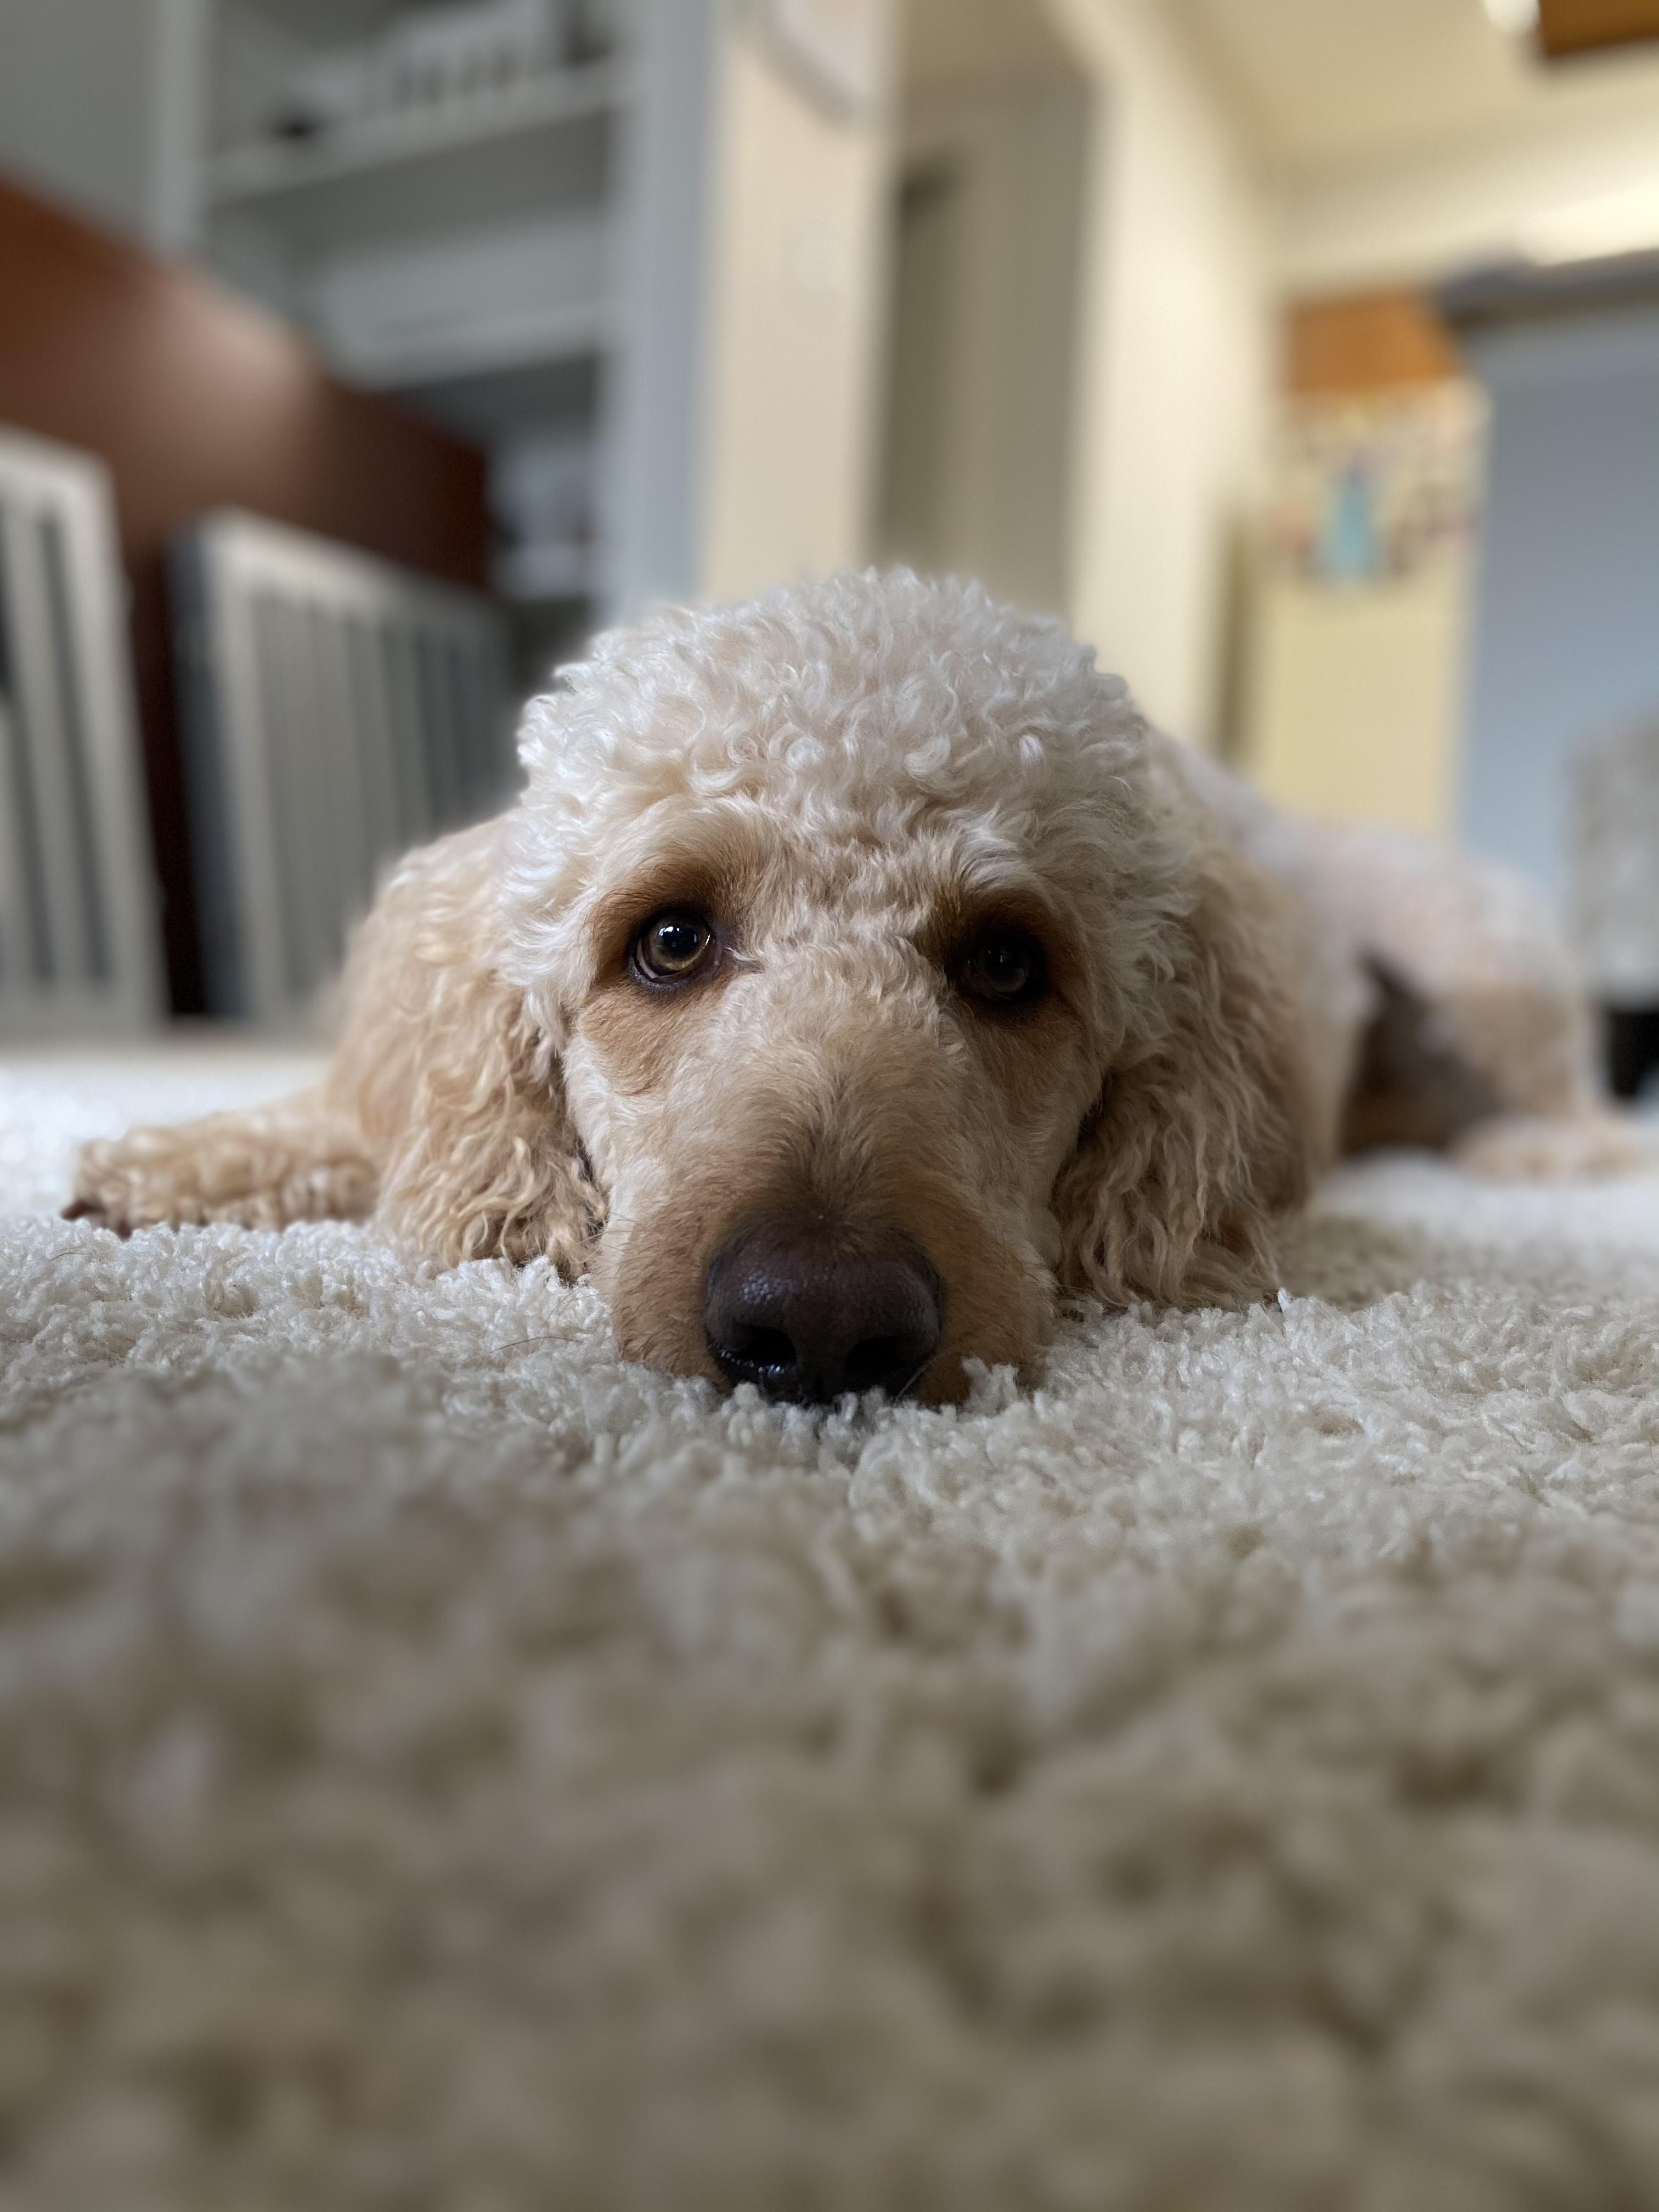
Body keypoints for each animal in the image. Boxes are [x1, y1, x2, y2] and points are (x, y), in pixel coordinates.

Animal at [68, 571, 1627, 1405]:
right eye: (670, 942)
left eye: (1006, 962)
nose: (818, 1327)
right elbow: (368, 1125)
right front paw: (181, 1158)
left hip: (1476, 952)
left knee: (1575, 1096)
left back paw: (1543, 1149)